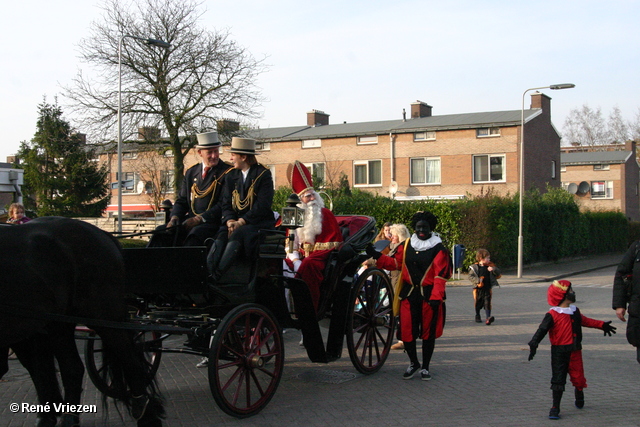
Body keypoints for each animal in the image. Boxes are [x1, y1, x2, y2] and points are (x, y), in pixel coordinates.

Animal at [1, 219, 165, 426]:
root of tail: (103, 234)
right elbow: (40, 370)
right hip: (59, 323)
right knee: (71, 368)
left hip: (104, 318)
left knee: (130, 360)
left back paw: (146, 414)